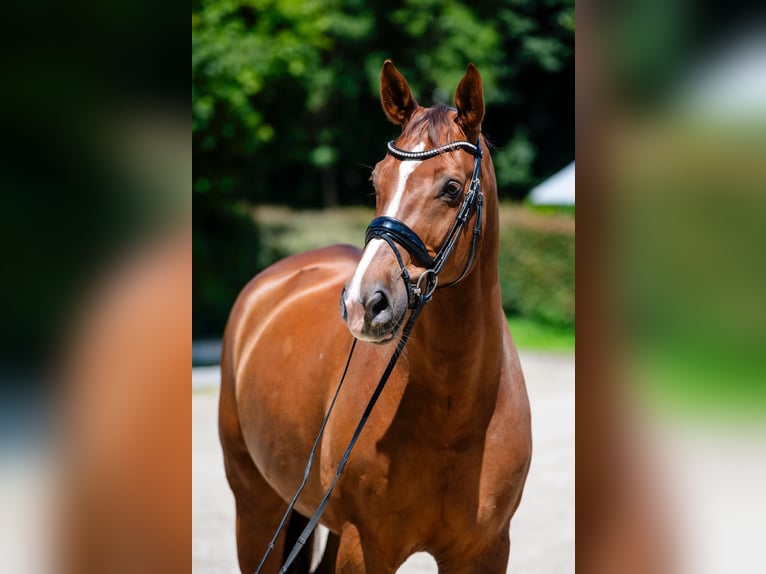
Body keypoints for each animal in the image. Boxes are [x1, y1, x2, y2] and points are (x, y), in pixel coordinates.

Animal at [219, 60, 532, 573]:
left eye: (451, 188)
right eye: (376, 182)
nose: (362, 304)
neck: (454, 412)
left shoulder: (486, 550)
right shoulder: (363, 547)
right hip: (257, 508)